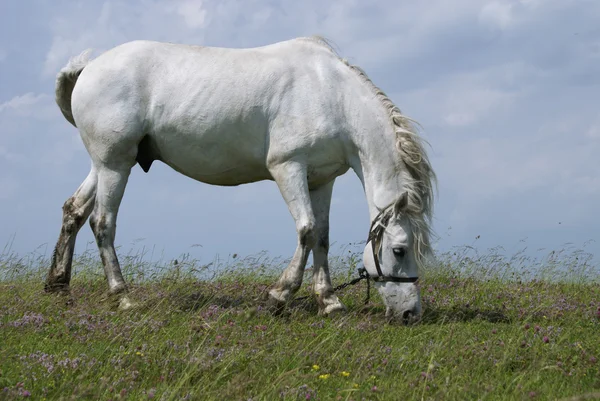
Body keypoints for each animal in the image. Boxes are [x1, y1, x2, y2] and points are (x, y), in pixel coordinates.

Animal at [43, 35, 436, 322]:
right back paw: (122, 296)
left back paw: (59, 286)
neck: (331, 94)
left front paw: (329, 302)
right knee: (102, 222)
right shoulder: (288, 167)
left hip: (106, 165)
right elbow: (306, 231)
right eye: (399, 250)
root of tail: (89, 67)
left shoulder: (322, 180)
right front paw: (279, 297)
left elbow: (322, 237)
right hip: (114, 166)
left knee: (74, 210)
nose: (410, 314)